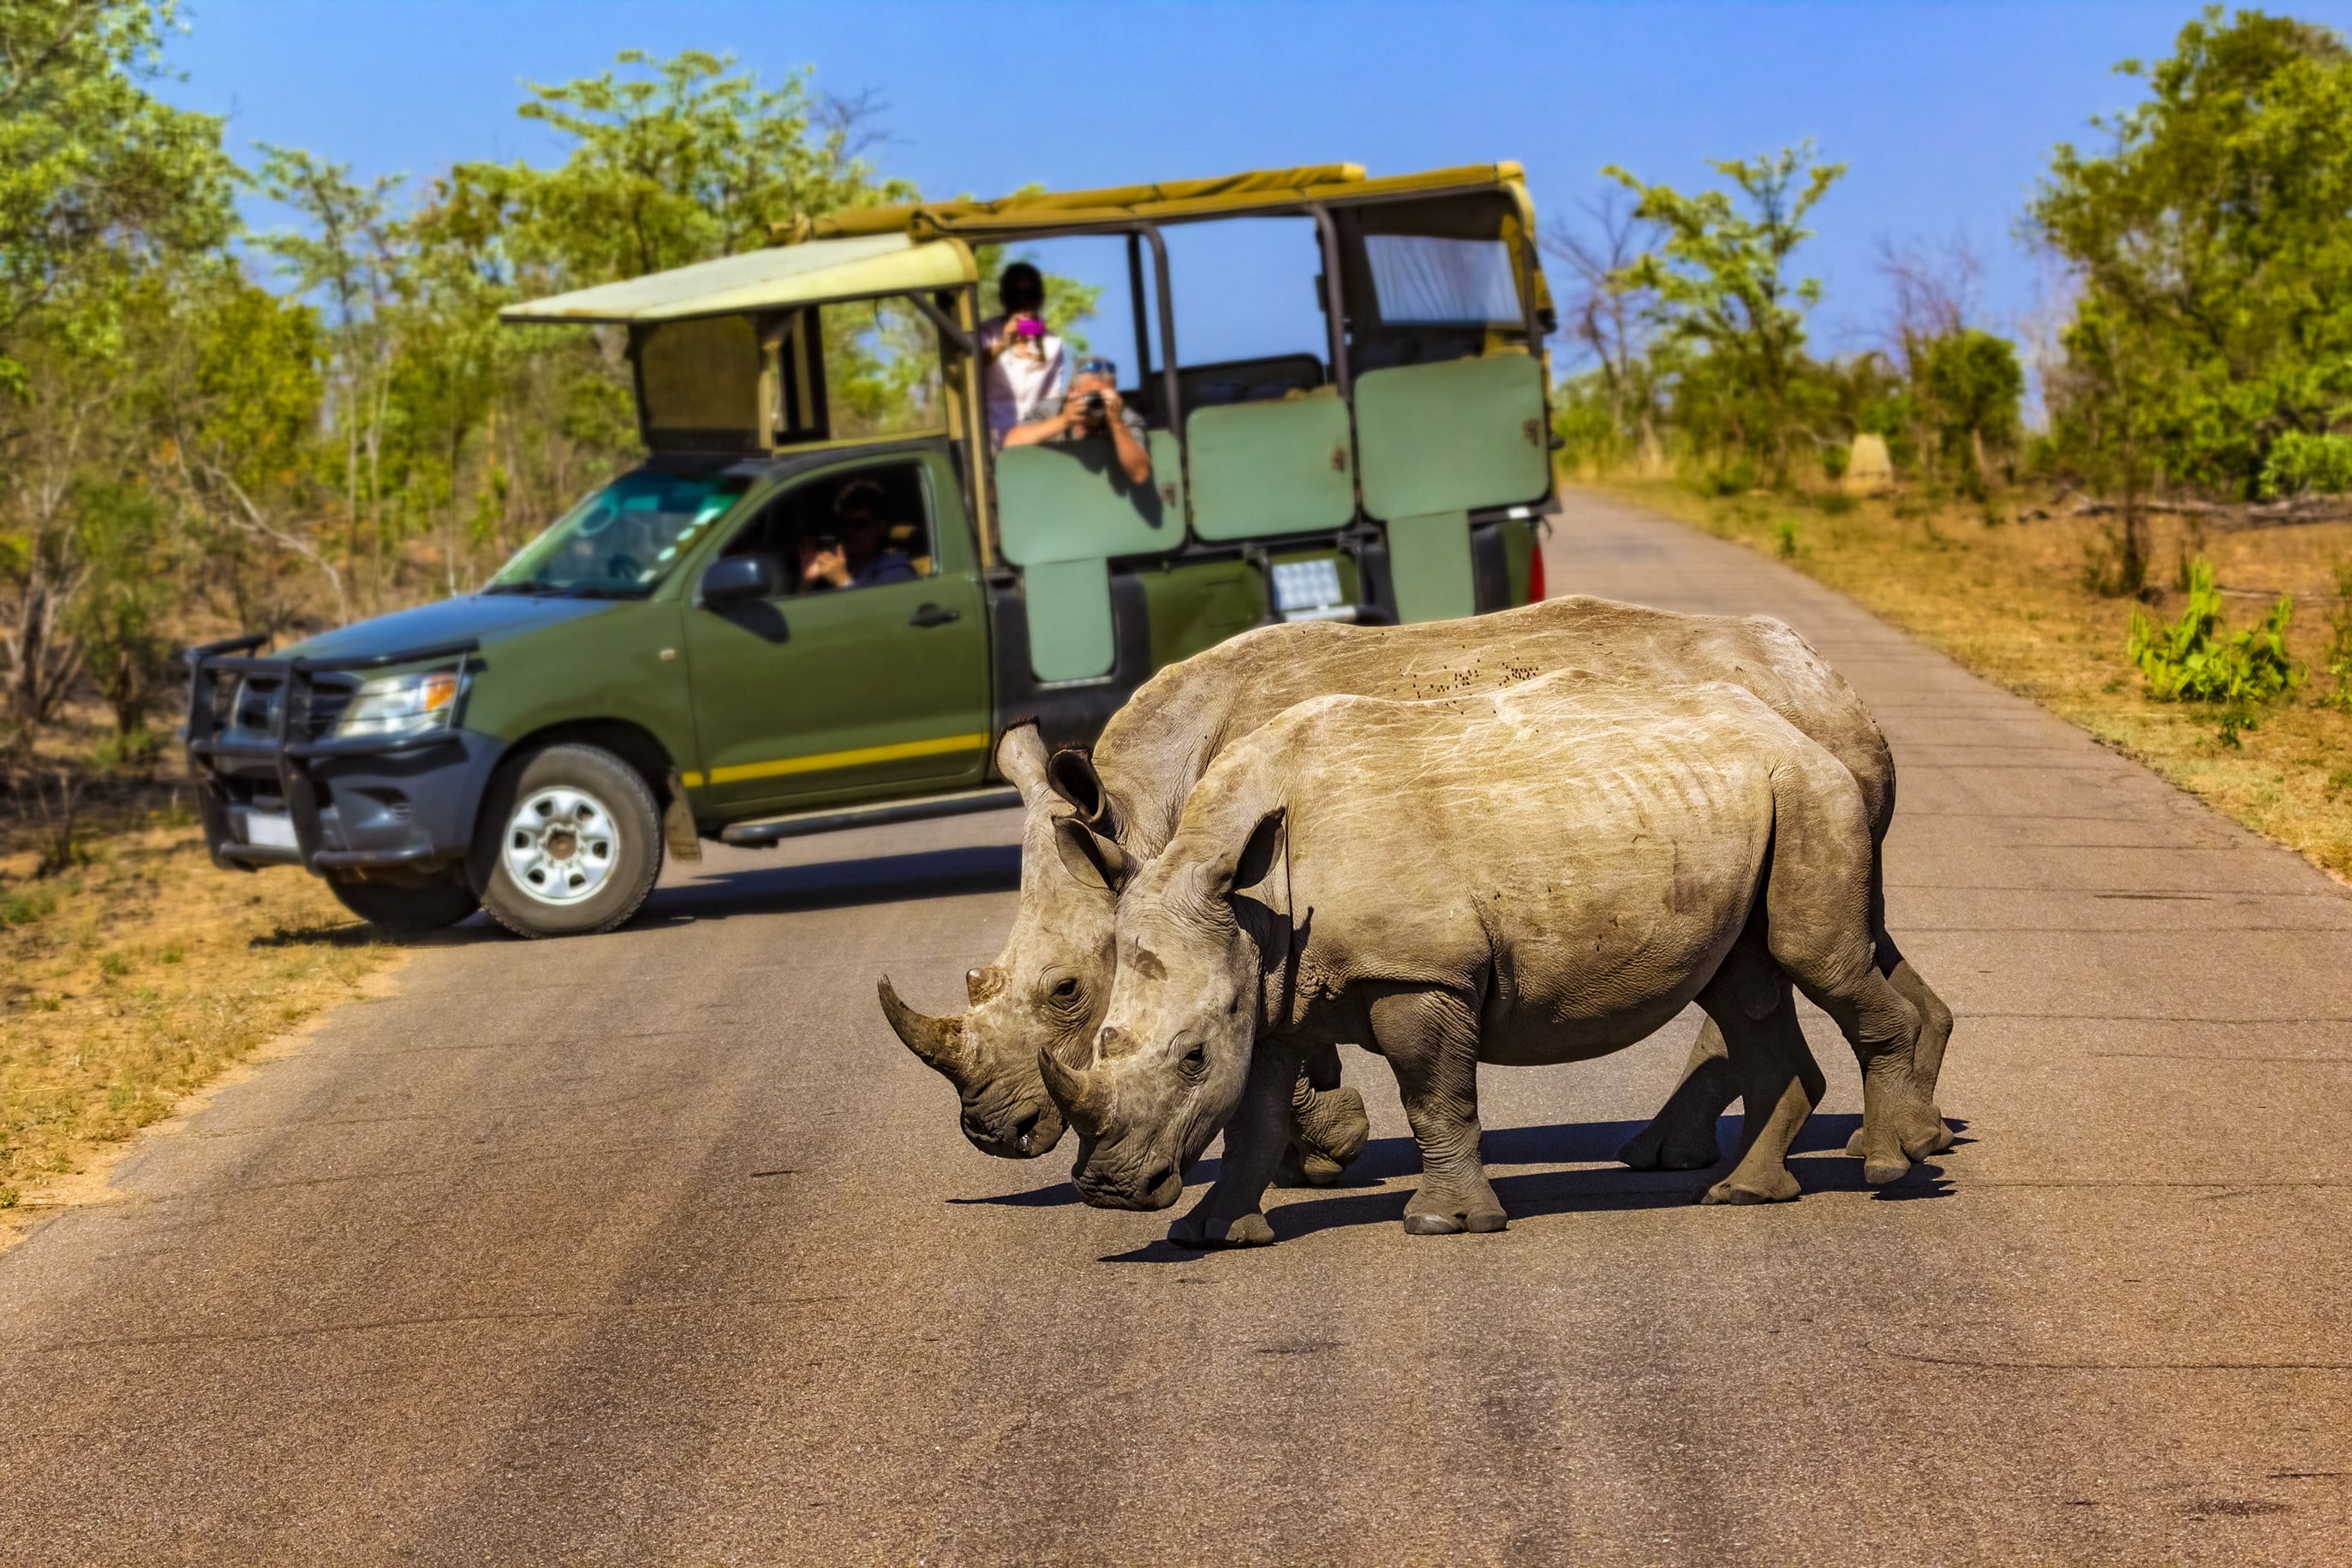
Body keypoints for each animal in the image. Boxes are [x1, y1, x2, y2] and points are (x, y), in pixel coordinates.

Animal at [878, 596, 1953, 1184]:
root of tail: (1830, 684)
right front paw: (1307, 1156)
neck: (1147, 811)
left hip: (1778, 762)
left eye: (1066, 991)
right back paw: (1907, 1136)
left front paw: (1323, 1154)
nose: (993, 1135)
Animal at [1042, 677, 1952, 1243]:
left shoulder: (1418, 971)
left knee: (1815, 957)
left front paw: (1443, 1223)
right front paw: (1209, 1234)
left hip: (1808, 789)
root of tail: (1793, 723)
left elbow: (1433, 1097)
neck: (1248, 895)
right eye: (1102, 1042)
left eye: (1193, 1057)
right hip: (1747, 800)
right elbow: (1254, 1121)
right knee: (1745, 984)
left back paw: (1888, 1165)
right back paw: (1743, 1193)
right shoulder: (1269, 993)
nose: (1107, 1189)